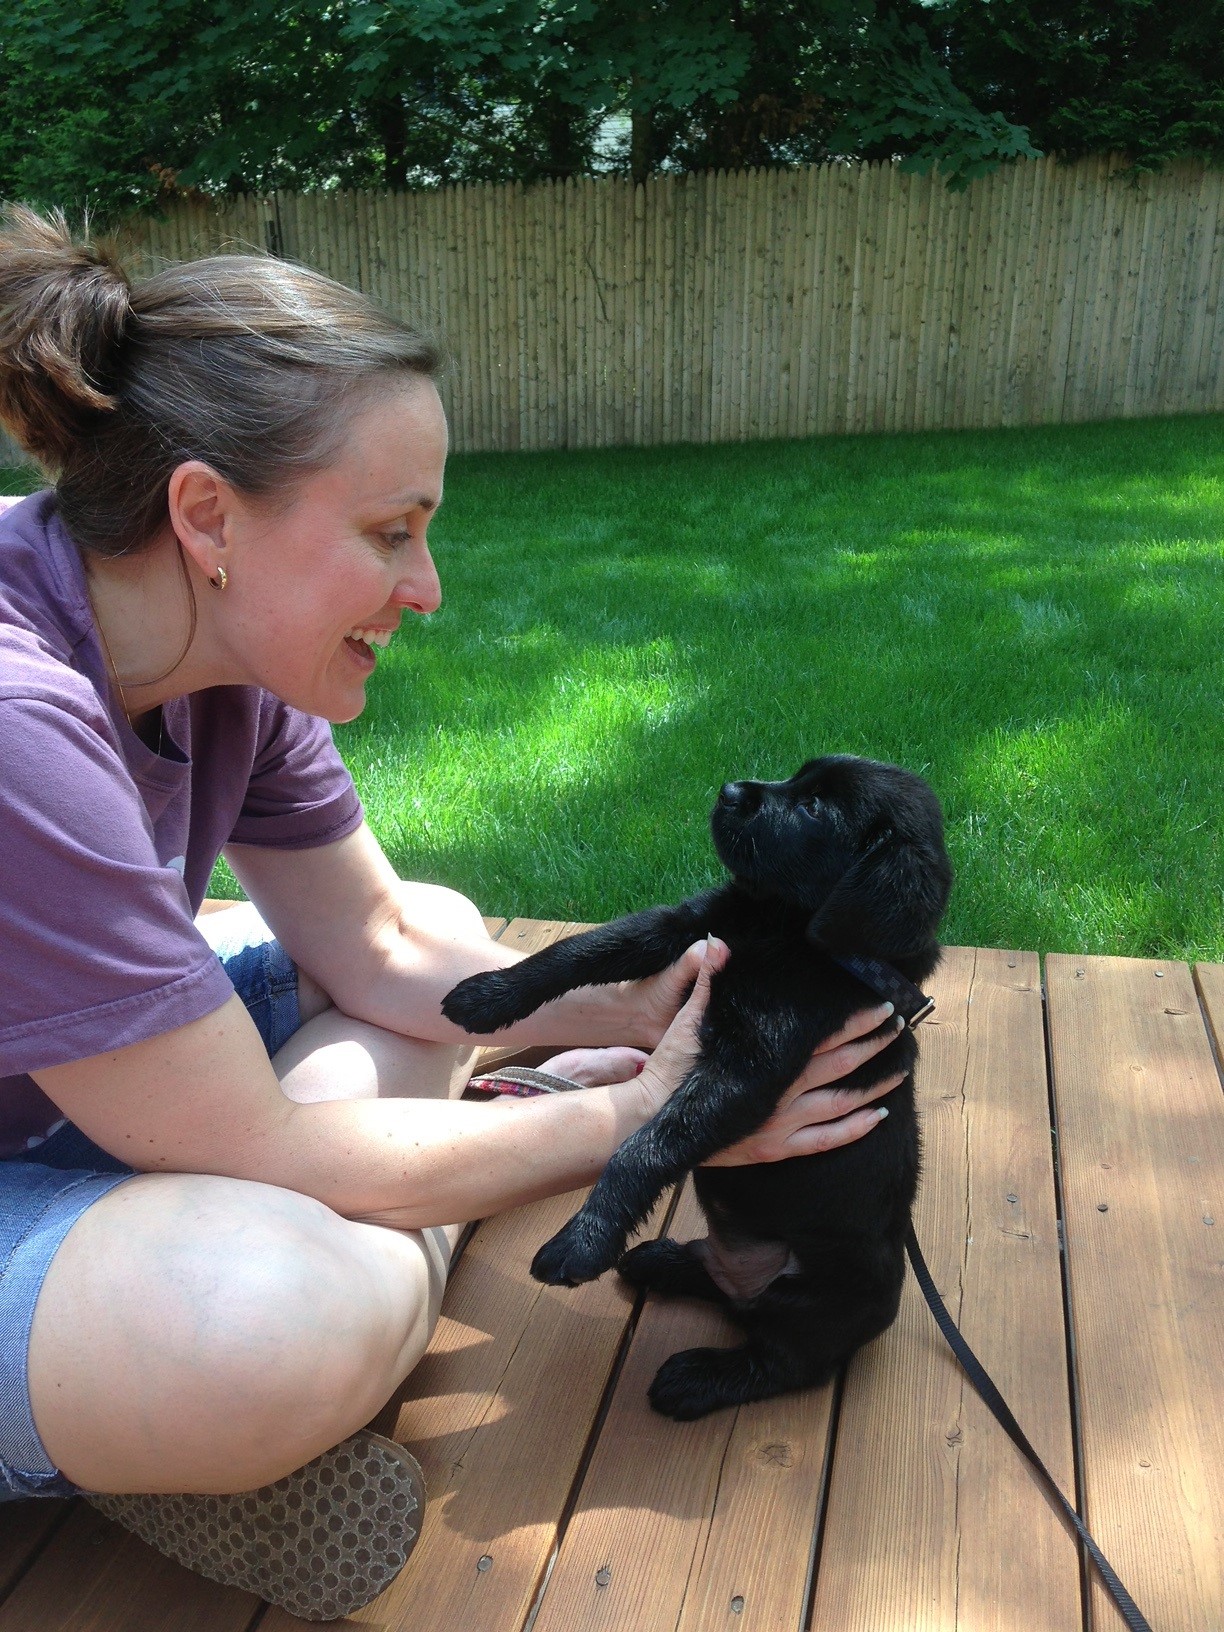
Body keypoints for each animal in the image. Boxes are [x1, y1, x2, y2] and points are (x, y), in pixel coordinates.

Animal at [447, 753, 953, 1416]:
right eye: (799, 779)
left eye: (815, 807)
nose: (729, 790)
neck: (780, 924)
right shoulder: (689, 927)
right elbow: (579, 951)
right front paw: (488, 994)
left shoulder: (750, 1064)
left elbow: (646, 1144)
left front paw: (584, 1239)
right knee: (723, 1289)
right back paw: (662, 1260)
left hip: (822, 1300)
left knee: (786, 1363)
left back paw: (694, 1379)